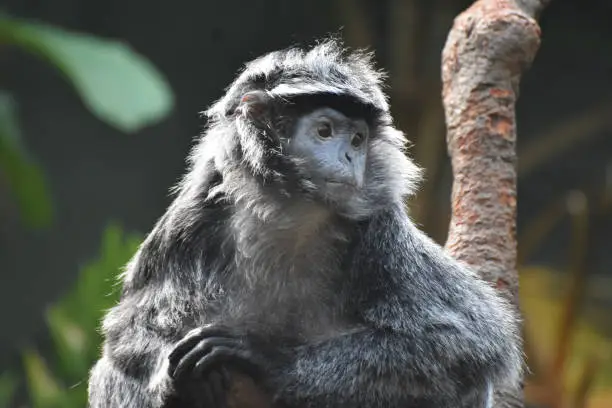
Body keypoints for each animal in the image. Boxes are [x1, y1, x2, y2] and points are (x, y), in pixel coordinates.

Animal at [88, 39, 524, 408]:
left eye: (358, 139)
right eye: (324, 131)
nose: (350, 157)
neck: (290, 212)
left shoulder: (380, 227)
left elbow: (465, 340)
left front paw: (266, 357)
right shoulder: (195, 207)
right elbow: (125, 331)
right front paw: (170, 379)